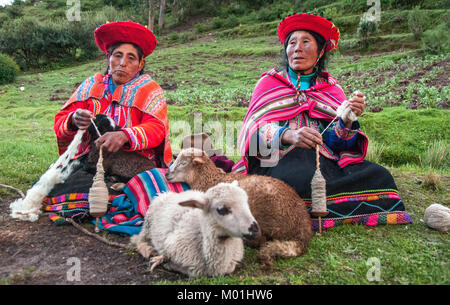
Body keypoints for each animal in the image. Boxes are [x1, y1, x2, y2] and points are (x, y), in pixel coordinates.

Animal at [129, 180, 260, 278]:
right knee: (138, 239)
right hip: (148, 222)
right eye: (222, 210)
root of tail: (172, 193)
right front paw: (165, 261)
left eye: (246, 202)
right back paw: (148, 250)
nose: (255, 229)